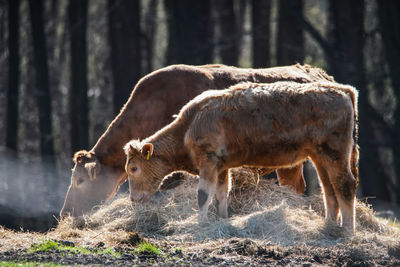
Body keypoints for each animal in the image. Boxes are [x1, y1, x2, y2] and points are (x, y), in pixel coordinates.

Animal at [125, 81, 360, 232]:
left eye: (133, 168)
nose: (133, 198)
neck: (188, 127)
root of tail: (344, 90)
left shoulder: (208, 162)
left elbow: (203, 195)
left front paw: (201, 223)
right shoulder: (221, 167)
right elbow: (221, 194)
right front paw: (222, 219)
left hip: (335, 154)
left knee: (345, 184)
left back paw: (348, 230)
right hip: (320, 157)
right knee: (328, 188)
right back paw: (330, 225)